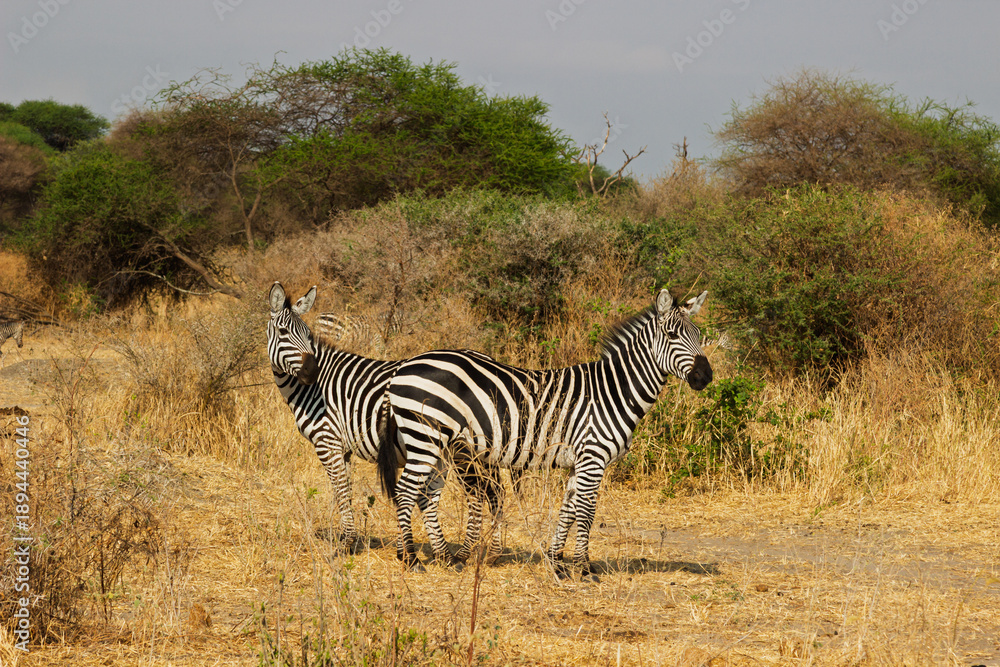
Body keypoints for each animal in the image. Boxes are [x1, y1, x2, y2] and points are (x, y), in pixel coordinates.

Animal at [267, 282, 495, 561]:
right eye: (282, 332)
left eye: (309, 336)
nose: (312, 372)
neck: (315, 391)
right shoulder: (343, 447)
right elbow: (346, 490)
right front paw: (347, 538)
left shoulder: (327, 441)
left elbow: (340, 489)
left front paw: (346, 543)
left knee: (478, 493)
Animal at [378, 289, 713, 581]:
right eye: (672, 336)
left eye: (699, 336)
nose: (705, 377)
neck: (612, 392)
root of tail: (402, 367)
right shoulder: (593, 457)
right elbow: (586, 513)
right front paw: (585, 569)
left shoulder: (580, 461)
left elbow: (568, 510)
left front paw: (557, 563)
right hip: (425, 436)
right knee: (406, 491)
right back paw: (411, 559)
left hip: (441, 446)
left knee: (425, 495)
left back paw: (439, 557)